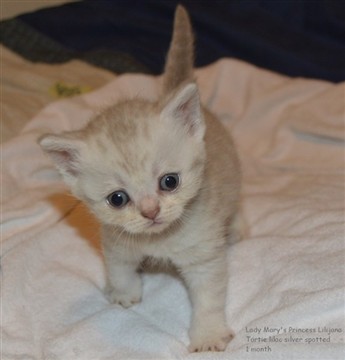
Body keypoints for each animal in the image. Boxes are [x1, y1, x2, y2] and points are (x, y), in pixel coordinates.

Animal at [39, 5, 241, 352]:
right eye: (117, 199)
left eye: (169, 181)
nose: (150, 211)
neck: (158, 241)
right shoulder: (116, 241)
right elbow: (119, 268)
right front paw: (123, 293)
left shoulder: (204, 255)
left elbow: (209, 298)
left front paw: (208, 334)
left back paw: (238, 229)